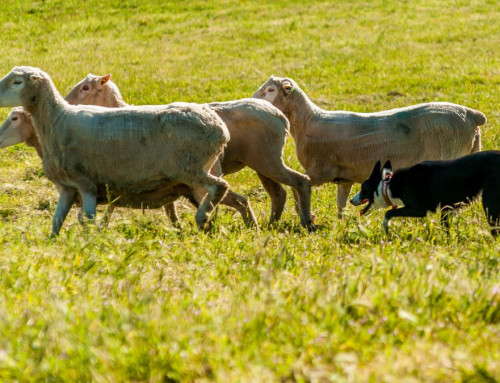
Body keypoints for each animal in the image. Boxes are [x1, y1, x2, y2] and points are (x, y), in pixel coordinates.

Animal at [0, 67, 229, 236]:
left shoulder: (86, 184)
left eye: (17, 82)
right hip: (191, 175)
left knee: (220, 187)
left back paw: (202, 218)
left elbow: (88, 220)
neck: (58, 120)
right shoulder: (67, 188)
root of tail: (219, 127)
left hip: (191, 169)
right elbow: (56, 223)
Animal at [63, 75, 312, 231]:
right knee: (278, 193)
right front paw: (178, 227)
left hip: (266, 159)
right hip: (262, 162)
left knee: (298, 182)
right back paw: (272, 224)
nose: (66, 103)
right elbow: (167, 206)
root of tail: (279, 116)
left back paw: (303, 221)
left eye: (85, 88)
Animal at [252, 75, 486, 220]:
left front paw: (305, 215)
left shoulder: (321, 171)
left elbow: (297, 186)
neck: (309, 122)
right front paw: (340, 223)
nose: (250, 100)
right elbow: (341, 203)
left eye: (270, 90)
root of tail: (472, 114)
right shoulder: (343, 177)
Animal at [350, 151, 500, 236]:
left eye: (363, 189)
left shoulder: (418, 210)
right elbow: (445, 229)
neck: (389, 185)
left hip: (489, 203)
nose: (351, 200)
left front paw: (385, 228)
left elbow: (388, 212)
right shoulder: (444, 210)